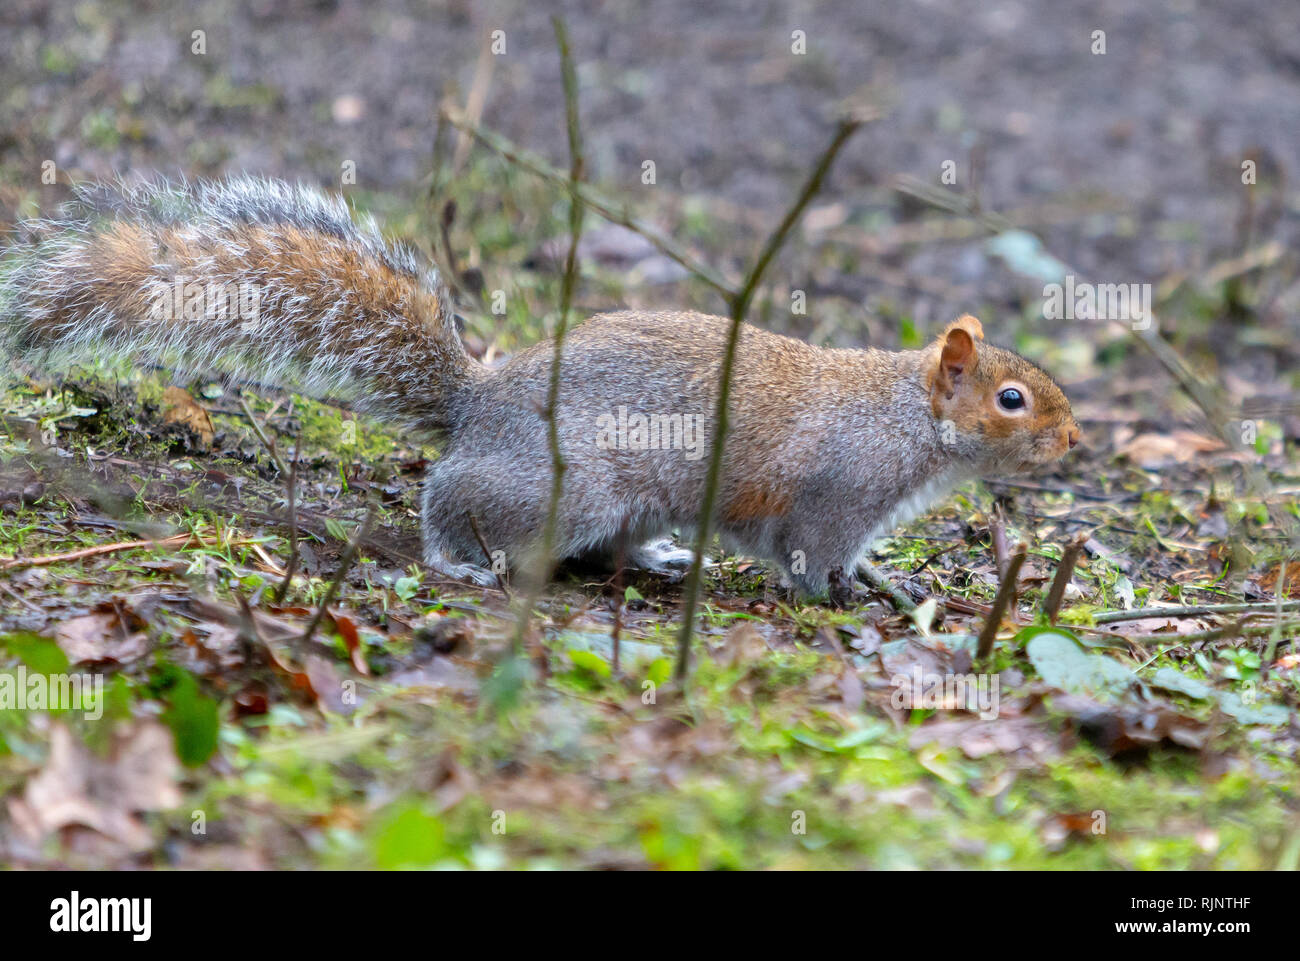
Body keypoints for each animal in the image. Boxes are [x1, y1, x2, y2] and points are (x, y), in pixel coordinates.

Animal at [0, 172, 1076, 592]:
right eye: (1010, 398)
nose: (1073, 442)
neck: (904, 416)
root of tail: (479, 404)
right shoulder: (832, 491)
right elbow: (811, 555)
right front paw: (848, 594)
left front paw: (884, 581)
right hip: (561, 483)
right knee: (452, 498)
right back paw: (465, 559)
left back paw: (655, 560)